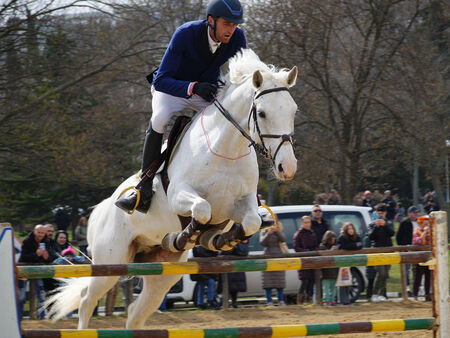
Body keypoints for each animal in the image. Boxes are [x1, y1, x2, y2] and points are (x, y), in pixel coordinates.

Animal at [46, 48, 298, 328]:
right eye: (262, 113)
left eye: (293, 111)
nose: (287, 168)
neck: (226, 150)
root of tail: (98, 210)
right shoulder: (180, 195)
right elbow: (202, 209)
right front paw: (187, 236)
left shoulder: (241, 204)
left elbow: (251, 222)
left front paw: (221, 239)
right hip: (111, 261)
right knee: (87, 299)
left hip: (162, 272)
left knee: (135, 312)